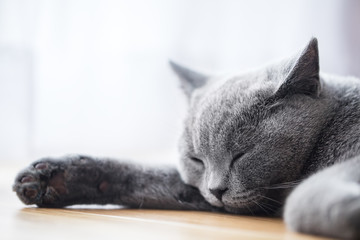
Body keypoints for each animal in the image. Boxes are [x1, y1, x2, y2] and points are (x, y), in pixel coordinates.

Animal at [11, 38, 360, 239]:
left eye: (243, 154)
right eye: (197, 160)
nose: (217, 189)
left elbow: (304, 201)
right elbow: (147, 177)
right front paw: (52, 178)